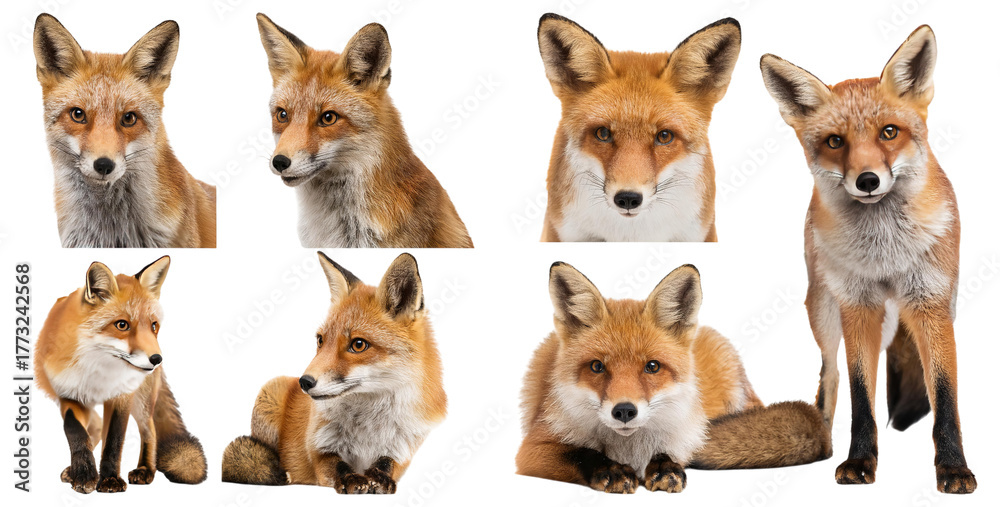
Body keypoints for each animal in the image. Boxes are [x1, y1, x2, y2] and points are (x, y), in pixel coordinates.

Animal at [35, 256, 207, 493]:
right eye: (122, 325)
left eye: (154, 326)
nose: (157, 359)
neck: (97, 370)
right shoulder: (69, 395)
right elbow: (76, 433)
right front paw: (84, 473)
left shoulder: (121, 395)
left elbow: (114, 441)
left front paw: (109, 479)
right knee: (96, 427)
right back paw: (74, 470)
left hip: (142, 401)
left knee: (149, 431)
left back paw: (145, 469)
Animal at [222, 252, 446, 493]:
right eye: (321, 340)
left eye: (358, 345)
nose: (304, 382)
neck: (369, 426)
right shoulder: (319, 449)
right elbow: (338, 466)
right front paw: (352, 480)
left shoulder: (402, 451)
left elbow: (386, 464)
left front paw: (379, 479)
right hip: (271, 393)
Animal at [516, 262, 831, 493]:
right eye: (597, 367)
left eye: (652, 367)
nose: (624, 411)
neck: (628, 448)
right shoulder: (532, 449)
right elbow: (581, 453)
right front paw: (610, 470)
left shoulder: (685, 435)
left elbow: (671, 452)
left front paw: (664, 467)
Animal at [760, 25, 976, 494]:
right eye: (835, 142)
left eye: (889, 132)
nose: (868, 180)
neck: (886, 255)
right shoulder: (857, 305)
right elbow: (861, 395)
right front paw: (860, 460)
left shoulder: (932, 305)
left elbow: (945, 396)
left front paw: (953, 468)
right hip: (823, 310)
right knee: (831, 375)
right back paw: (822, 440)